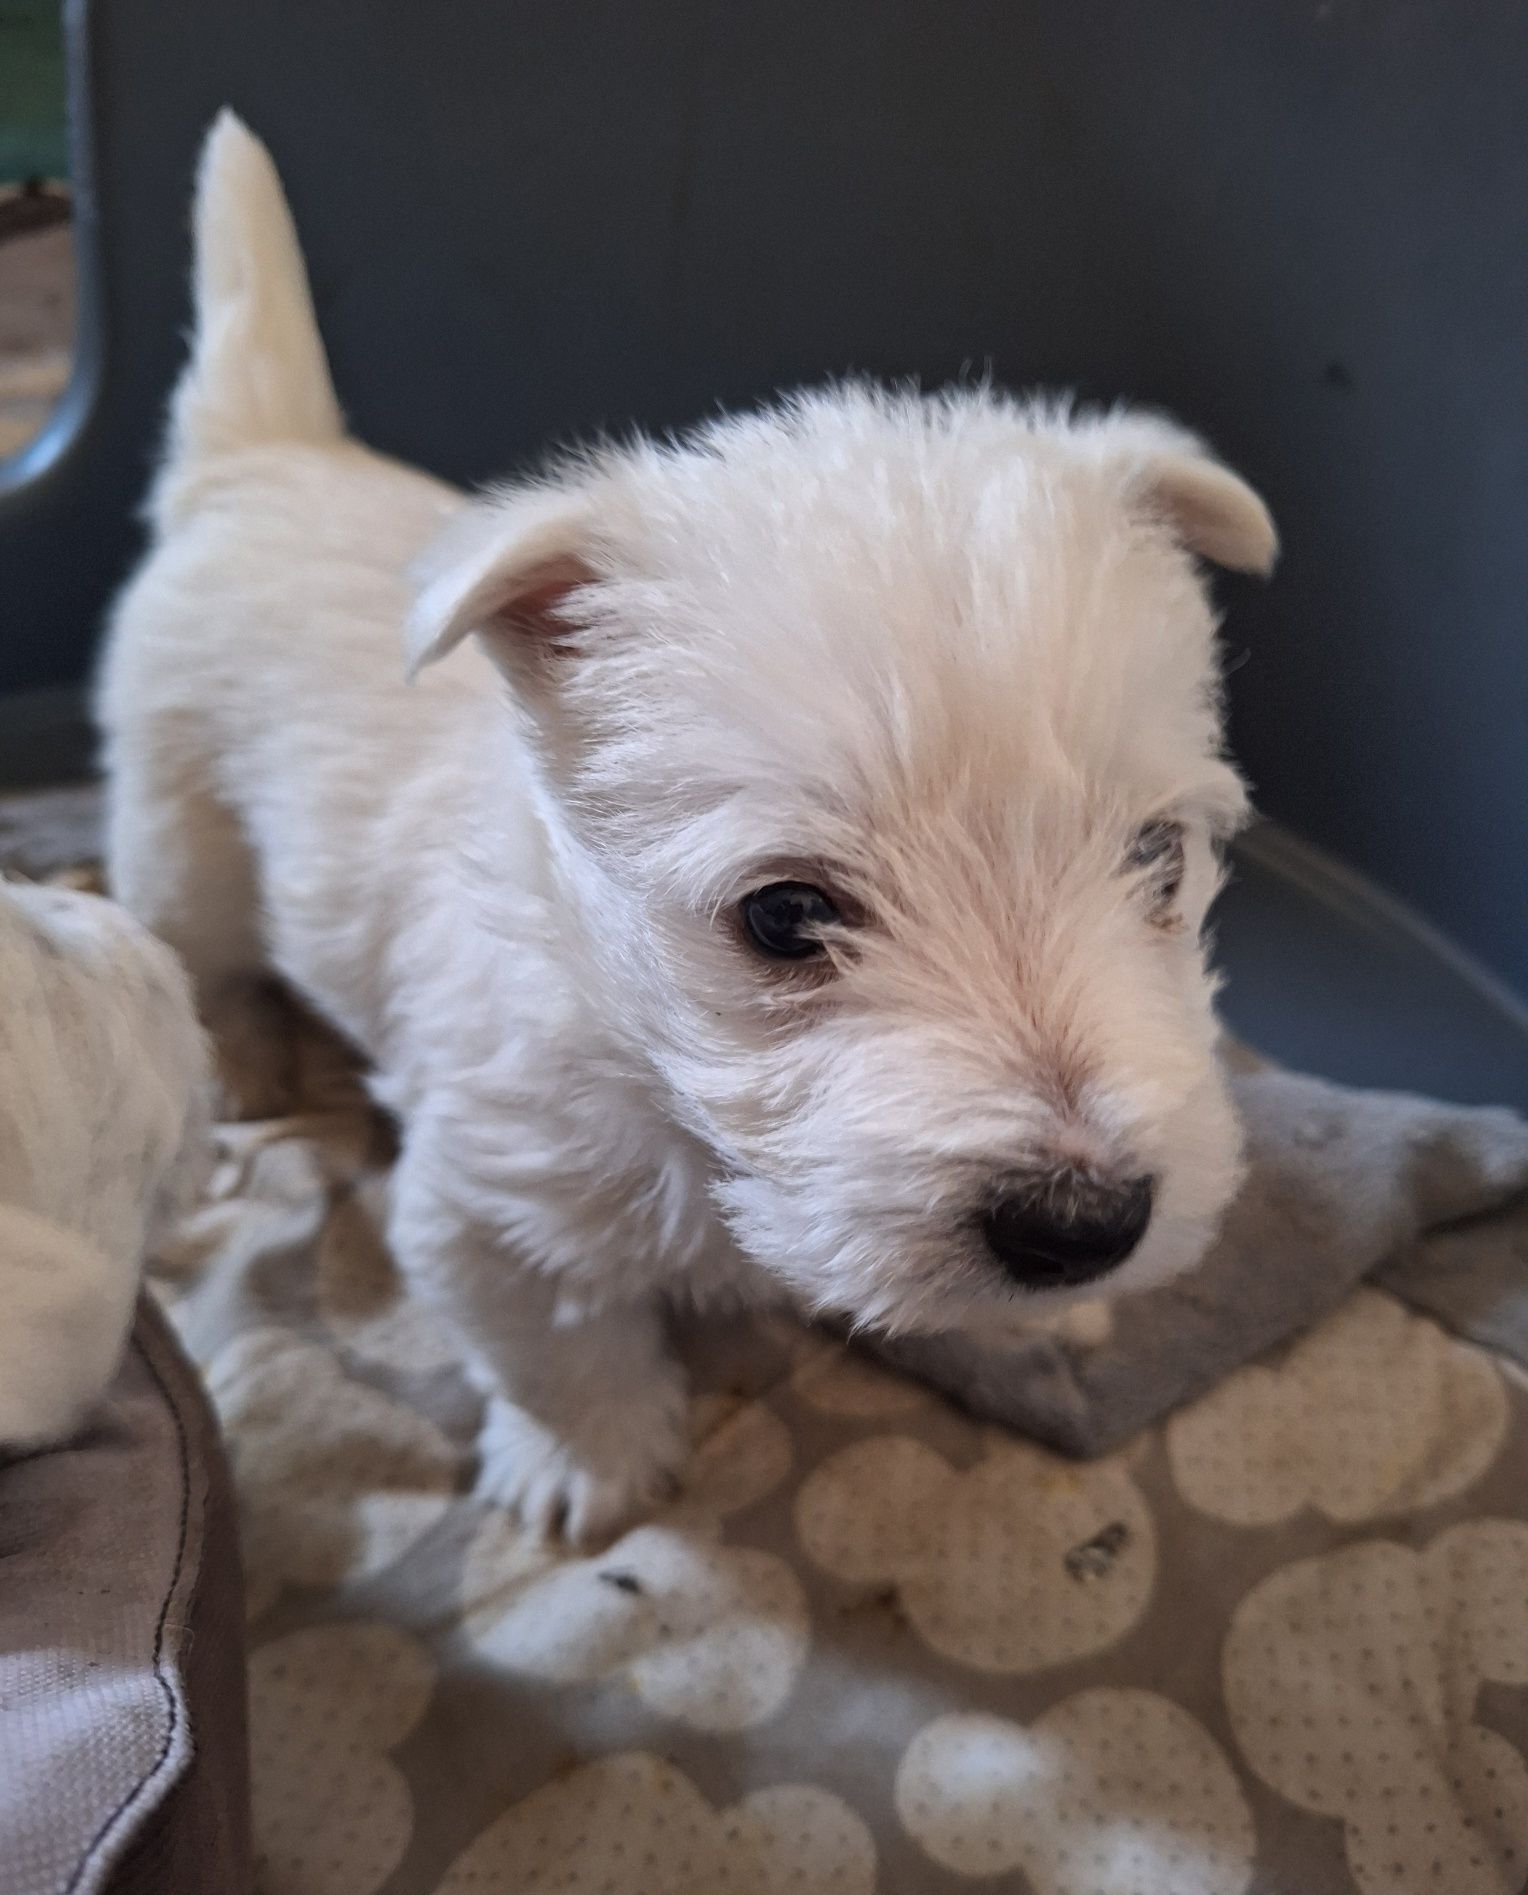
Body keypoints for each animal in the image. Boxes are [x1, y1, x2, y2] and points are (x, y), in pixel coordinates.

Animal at [101, 110, 1281, 1546]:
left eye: (1160, 857)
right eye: (784, 914)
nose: (1084, 1225)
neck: (656, 1076)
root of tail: (262, 456)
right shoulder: (492, 1199)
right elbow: (562, 1343)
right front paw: (588, 1463)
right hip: (177, 841)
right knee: (202, 964)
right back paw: (252, 1062)